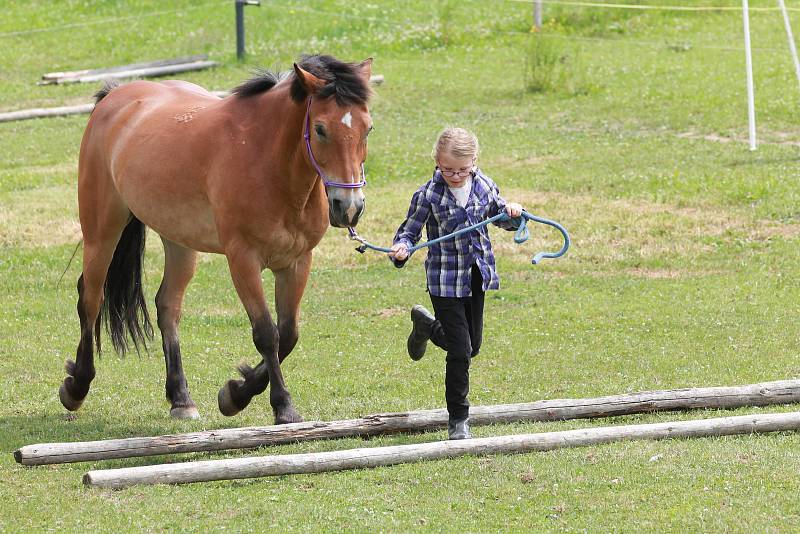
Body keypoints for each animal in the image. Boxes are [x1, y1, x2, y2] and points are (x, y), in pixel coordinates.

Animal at [61, 54, 376, 422]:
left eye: (368, 128)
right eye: (320, 129)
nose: (349, 207)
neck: (268, 161)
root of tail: (114, 96)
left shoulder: (297, 262)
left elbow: (289, 334)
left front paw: (236, 393)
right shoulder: (243, 260)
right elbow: (267, 334)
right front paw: (280, 407)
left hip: (180, 244)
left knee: (167, 306)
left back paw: (181, 398)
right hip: (102, 232)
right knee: (90, 298)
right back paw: (76, 388)